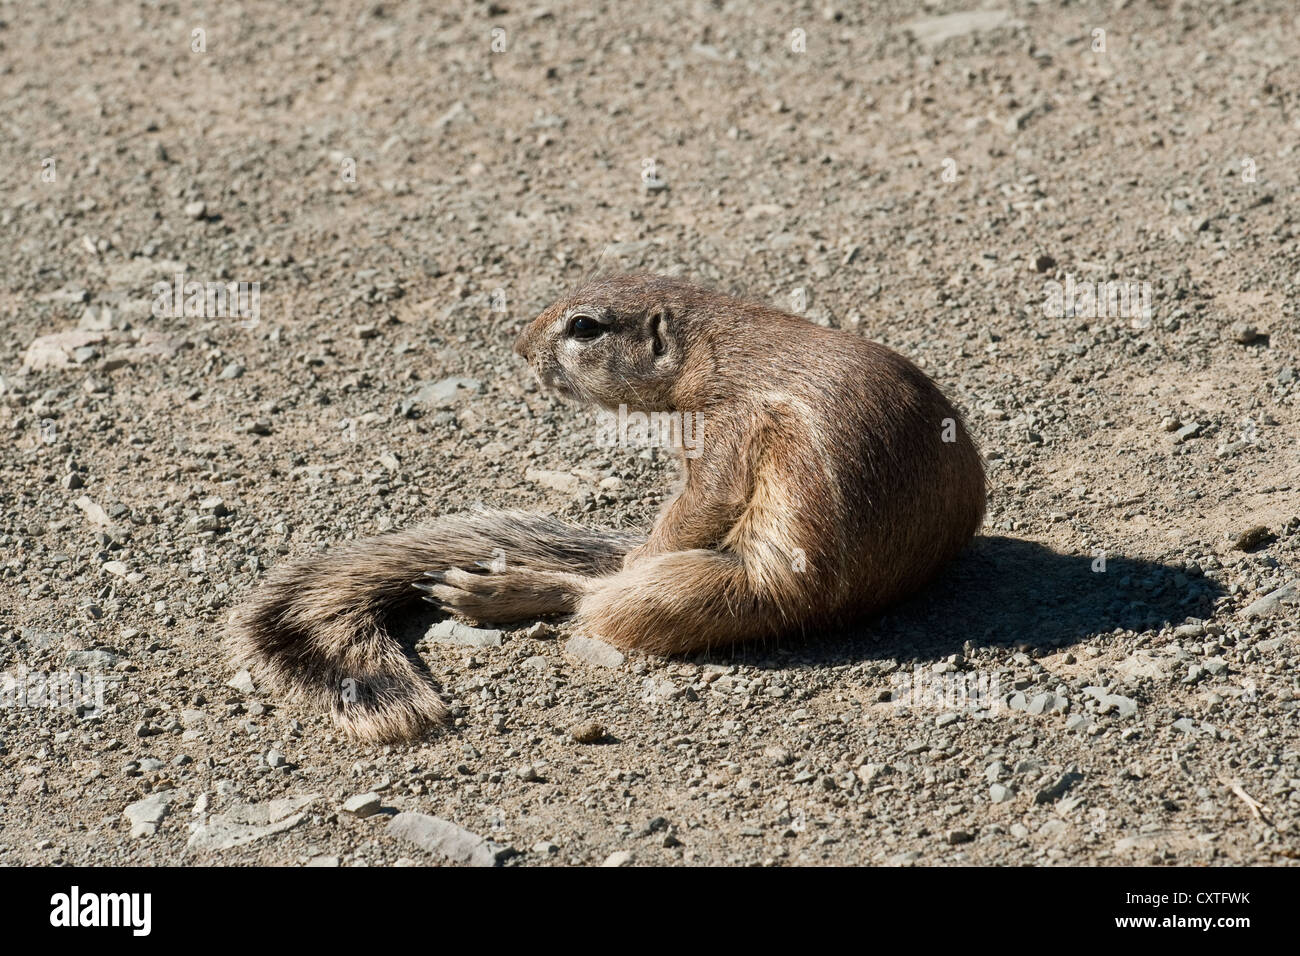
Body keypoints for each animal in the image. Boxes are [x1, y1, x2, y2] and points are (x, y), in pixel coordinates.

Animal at [228, 274, 986, 742]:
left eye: (585, 327)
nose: (518, 347)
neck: (718, 349)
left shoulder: (729, 427)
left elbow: (701, 502)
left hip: (709, 591)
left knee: (603, 599)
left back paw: (498, 592)